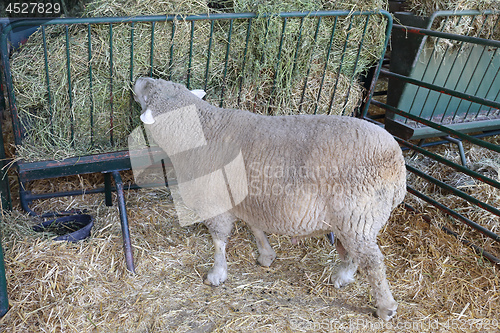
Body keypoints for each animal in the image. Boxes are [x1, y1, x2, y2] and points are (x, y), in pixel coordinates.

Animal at [132, 77, 406, 320]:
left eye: (147, 94)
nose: (139, 78)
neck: (202, 131)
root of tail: (398, 164)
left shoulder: (215, 202)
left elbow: (219, 241)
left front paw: (217, 274)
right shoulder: (249, 198)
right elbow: (254, 227)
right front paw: (266, 255)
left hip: (358, 215)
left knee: (372, 261)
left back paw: (385, 307)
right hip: (352, 220)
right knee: (354, 253)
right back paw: (343, 276)